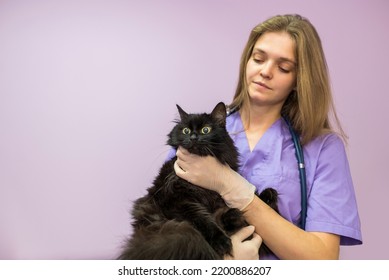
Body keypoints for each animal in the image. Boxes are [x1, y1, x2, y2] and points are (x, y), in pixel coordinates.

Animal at [116, 103, 278, 260]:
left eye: (205, 130)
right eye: (186, 130)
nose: (193, 137)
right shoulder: (178, 200)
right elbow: (203, 219)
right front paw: (222, 242)